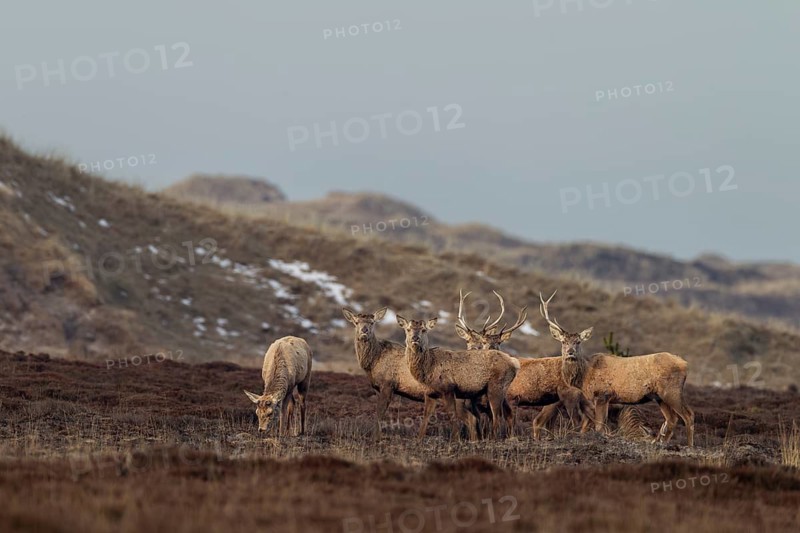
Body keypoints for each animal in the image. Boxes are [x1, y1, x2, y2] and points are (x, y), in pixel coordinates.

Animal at [341, 307, 478, 440]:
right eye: (356, 322)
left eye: (372, 322)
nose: (364, 330)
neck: (373, 362)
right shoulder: (377, 388)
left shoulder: (388, 384)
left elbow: (380, 413)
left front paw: (375, 439)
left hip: (455, 397)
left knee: (470, 418)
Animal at [455, 290, 595, 439]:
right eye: (483, 341)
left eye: (498, 342)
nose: (488, 348)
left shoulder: (511, 397)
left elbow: (508, 422)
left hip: (567, 396)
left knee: (573, 420)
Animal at [538, 290, 695, 447]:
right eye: (563, 341)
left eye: (578, 342)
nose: (570, 352)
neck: (584, 376)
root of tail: (685, 364)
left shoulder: (602, 394)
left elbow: (599, 426)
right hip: (659, 396)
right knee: (672, 419)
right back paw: (662, 444)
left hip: (672, 390)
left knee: (689, 415)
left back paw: (689, 445)